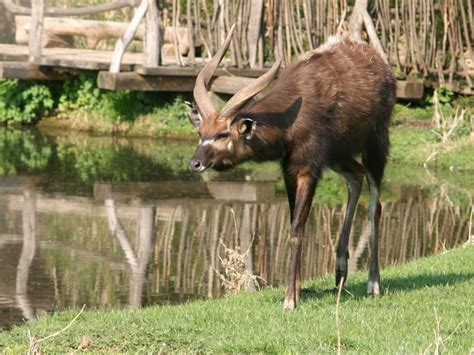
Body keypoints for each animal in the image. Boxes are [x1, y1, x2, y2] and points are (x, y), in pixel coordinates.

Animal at [185, 24, 396, 312]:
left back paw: (373, 283)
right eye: (200, 132)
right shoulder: (289, 169)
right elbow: (293, 219)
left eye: (222, 135)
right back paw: (340, 272)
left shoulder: (308, 168)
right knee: (356, 176)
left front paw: (289, 300)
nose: (195, 163)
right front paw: (297, 290)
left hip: (376, 142)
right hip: (339, 156)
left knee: (376, 203)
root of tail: (383, 66)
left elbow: (296, 229)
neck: (291, 119)